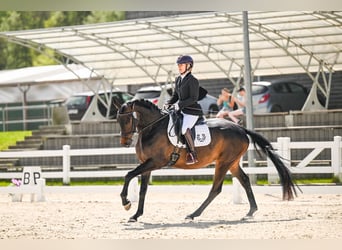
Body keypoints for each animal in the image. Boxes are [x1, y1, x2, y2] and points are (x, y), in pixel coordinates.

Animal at [115, 98, 296, 222]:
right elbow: (142, 190)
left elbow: (128, 175)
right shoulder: (147, 164)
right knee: (244, 180)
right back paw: (250, 212)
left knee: (216, 189)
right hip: (232, 163)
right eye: (118, 120)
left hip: (223, 163)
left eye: (128, 119)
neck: (153, 127)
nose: (124, 142)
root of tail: (240, 128)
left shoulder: (155, 162)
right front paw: (136, 215)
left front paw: (126, 202)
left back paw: (193, 214)